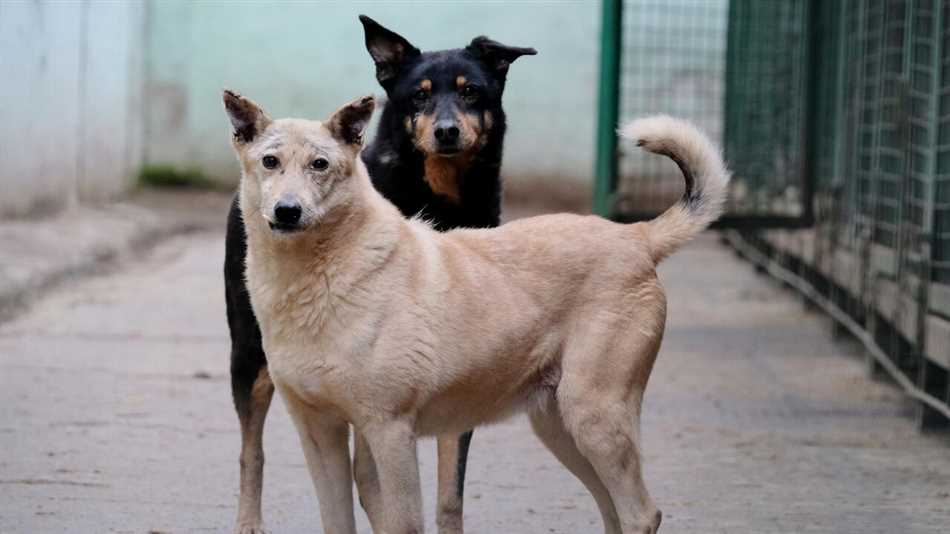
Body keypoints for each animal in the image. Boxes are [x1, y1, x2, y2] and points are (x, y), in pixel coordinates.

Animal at [223, 89, 728, 534]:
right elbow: (336, 521)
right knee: (614, 512)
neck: (320, 275)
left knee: (641, 514)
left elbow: (404, 523)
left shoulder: (390, 431)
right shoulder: (320, 432)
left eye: (320, 165)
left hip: (595, 416)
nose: (288, 211)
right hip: (560, 427)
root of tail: (636, 236)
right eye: (270, 162)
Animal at [225, 14, 536, 532]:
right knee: (253, 451)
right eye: (419, 96)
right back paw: (249, 520)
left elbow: (449, 491)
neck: (439, 199)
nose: (447, 131)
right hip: (248, 355)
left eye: (472, 91)